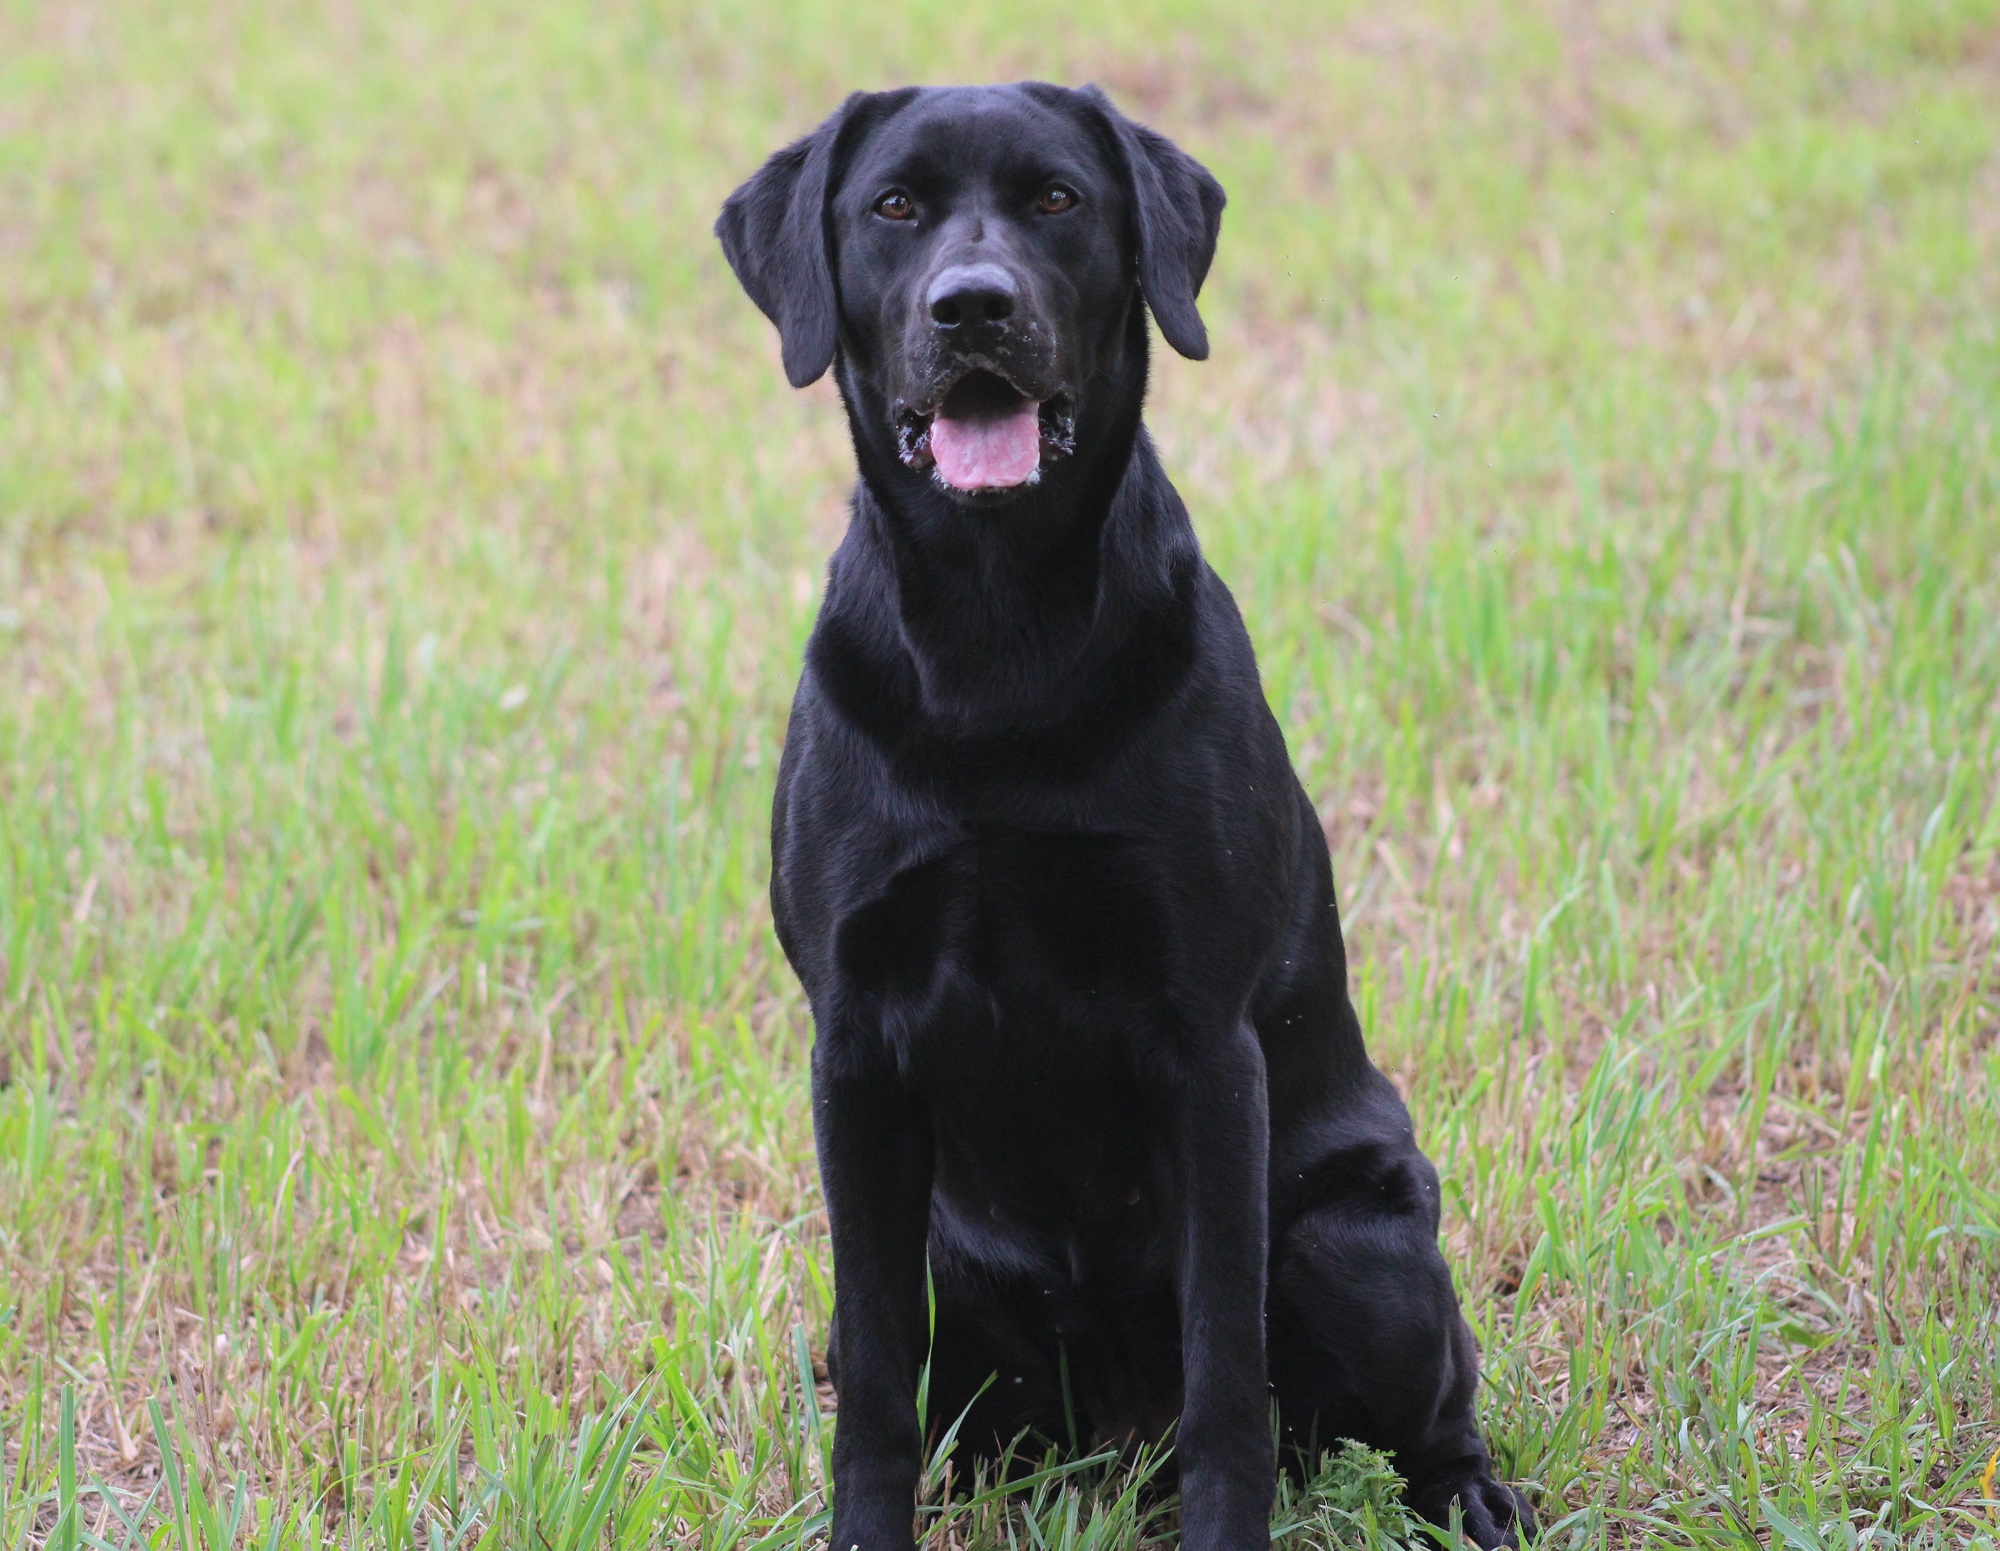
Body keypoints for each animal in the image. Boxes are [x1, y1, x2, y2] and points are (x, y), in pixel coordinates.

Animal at [720, 84, 1528, 1551]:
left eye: (1056, 199)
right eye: (894, 207)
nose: (971, 308)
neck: (996, 636)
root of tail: (1115, 1438)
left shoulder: (1202, 1046)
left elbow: (1225, 1376)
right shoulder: (854, 1054)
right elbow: (870, 1380)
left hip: (1360, 1240)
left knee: (1416, 1406)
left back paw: (1469, 1496)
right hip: (948, 1260)